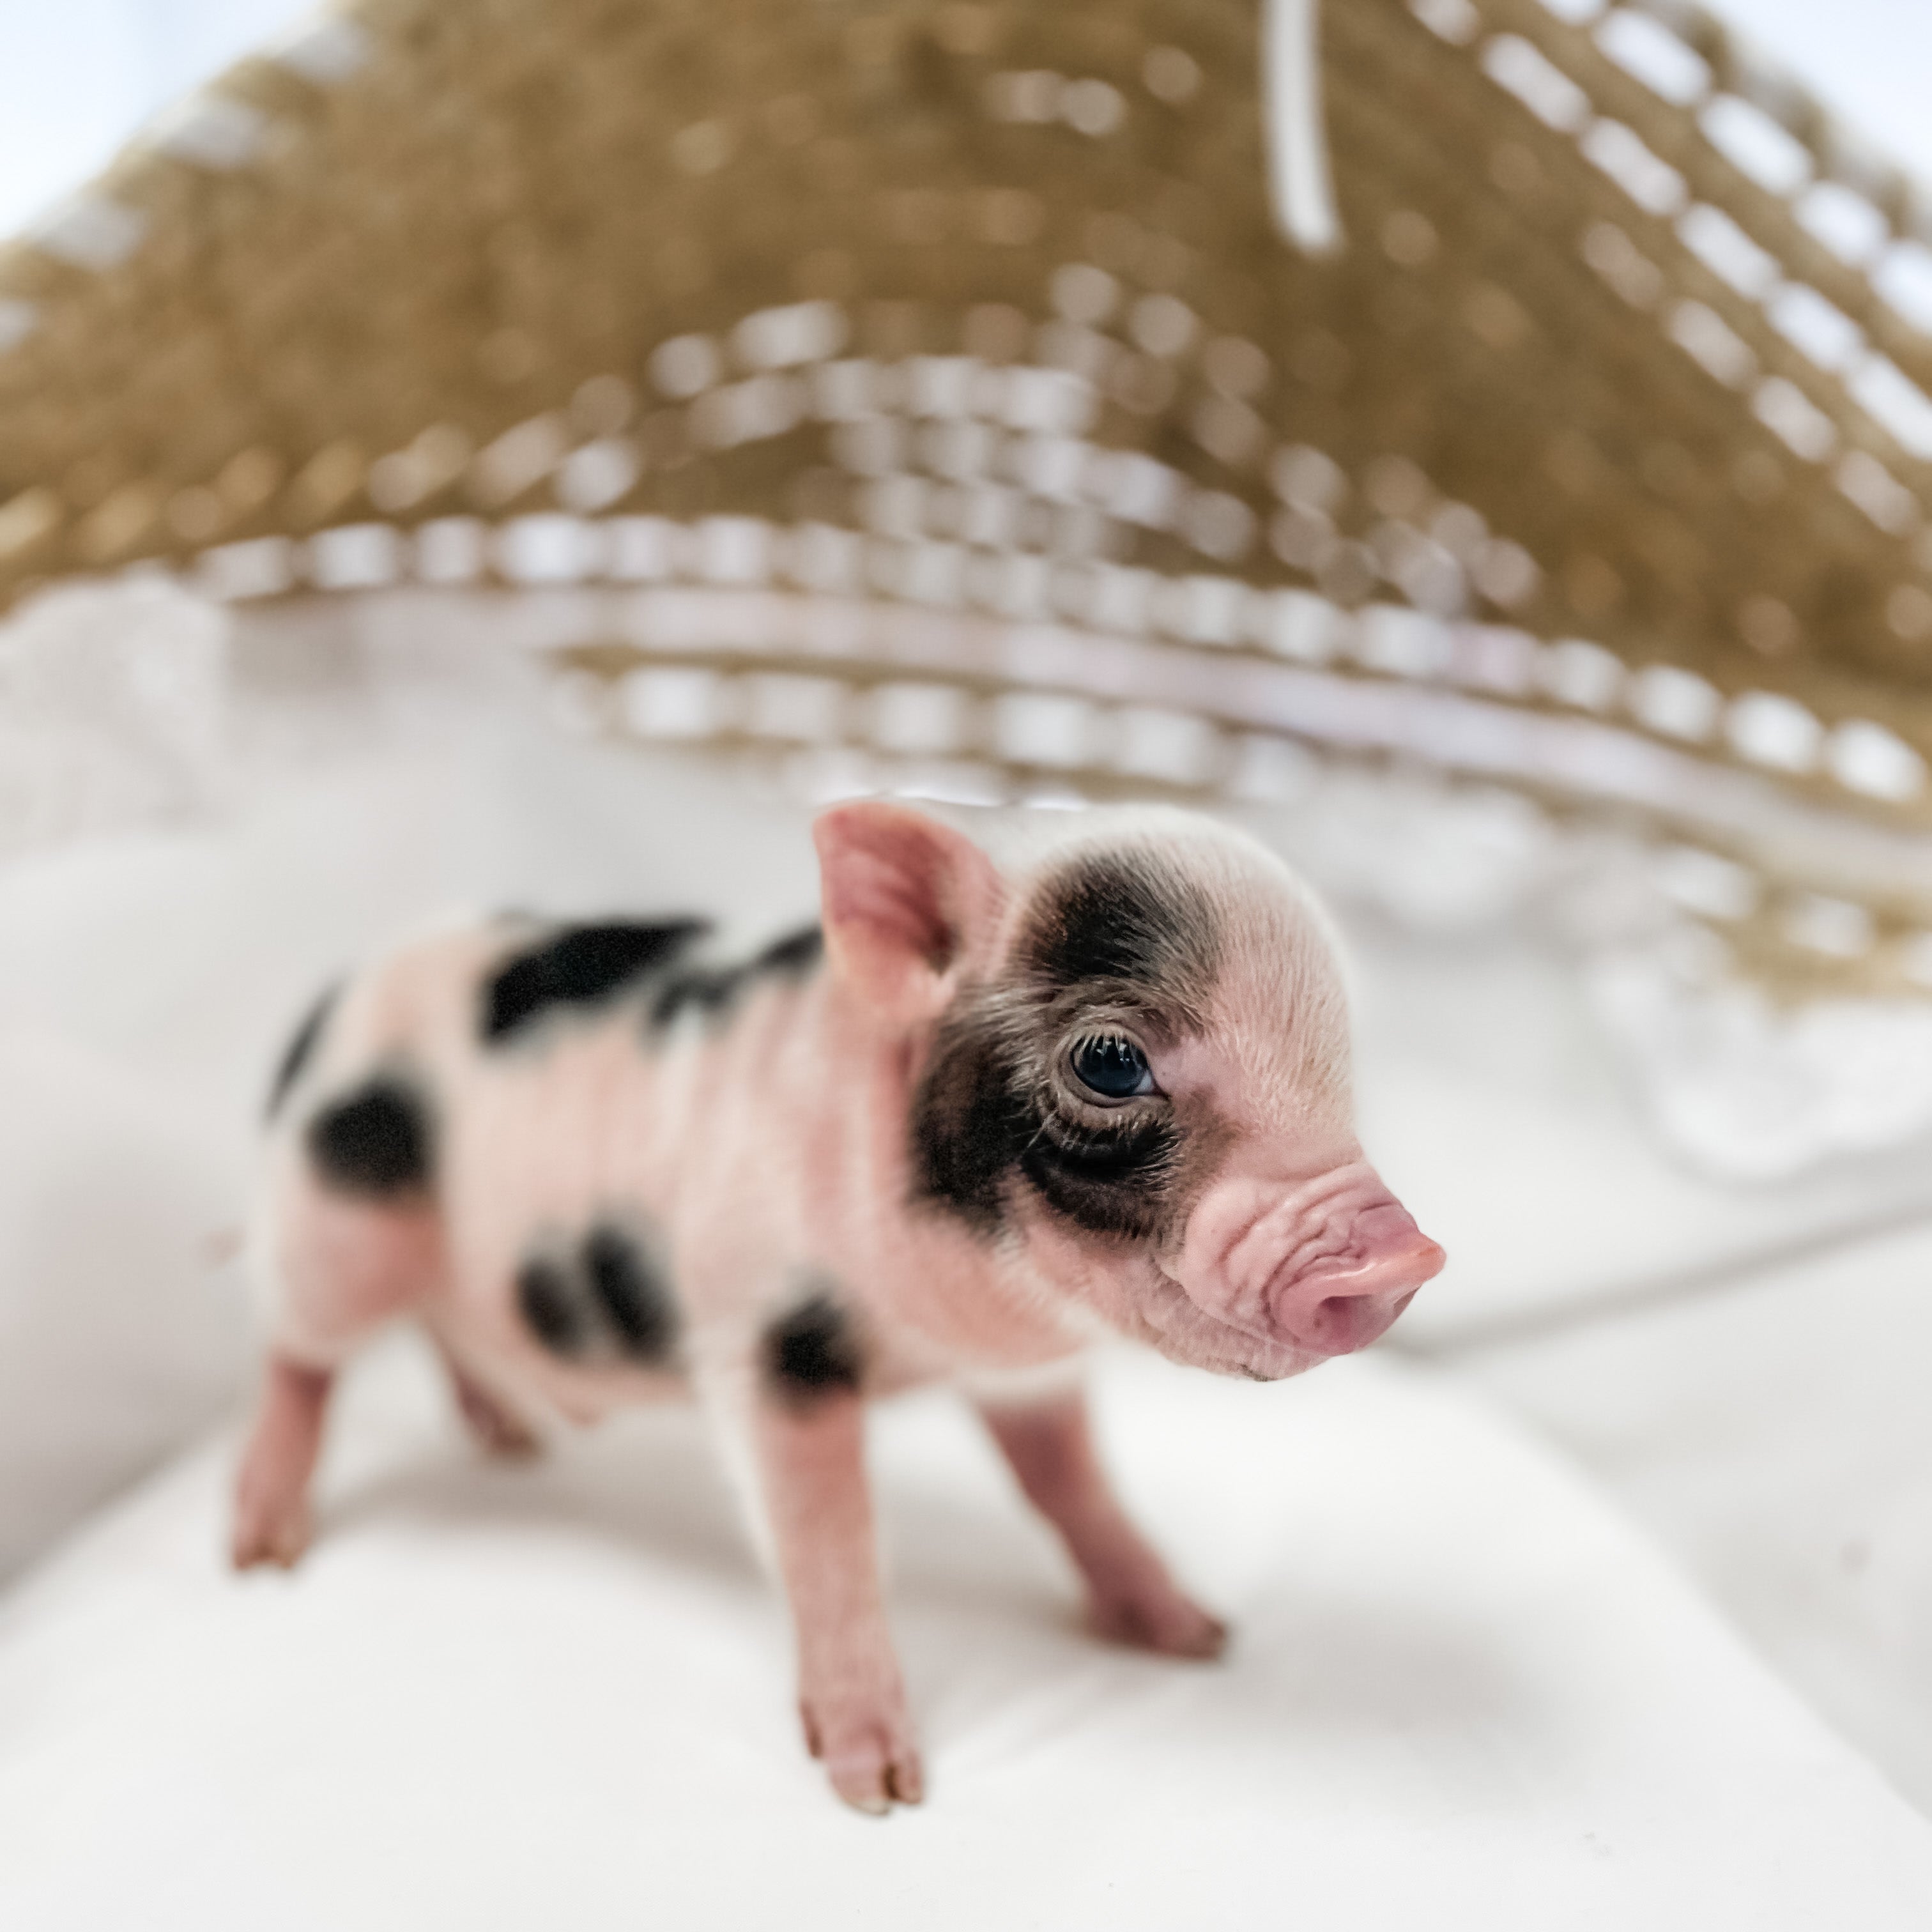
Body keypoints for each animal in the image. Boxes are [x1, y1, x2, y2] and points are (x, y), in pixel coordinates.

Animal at [233, 799, 1444, 1812]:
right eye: (1108, 1061)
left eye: (1339, 1062)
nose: (1407, 1254)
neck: (945, 1316)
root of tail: (324, 1007)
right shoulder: (768, 1342)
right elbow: (826, 1539)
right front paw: (882, 1790)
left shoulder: (1023, 1371)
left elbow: (1072, 1486)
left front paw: (1195, 1635)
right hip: (335, 1224)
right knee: (298, 1355)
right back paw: (260, 1548)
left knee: (440, 1326)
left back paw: (510, 1441)